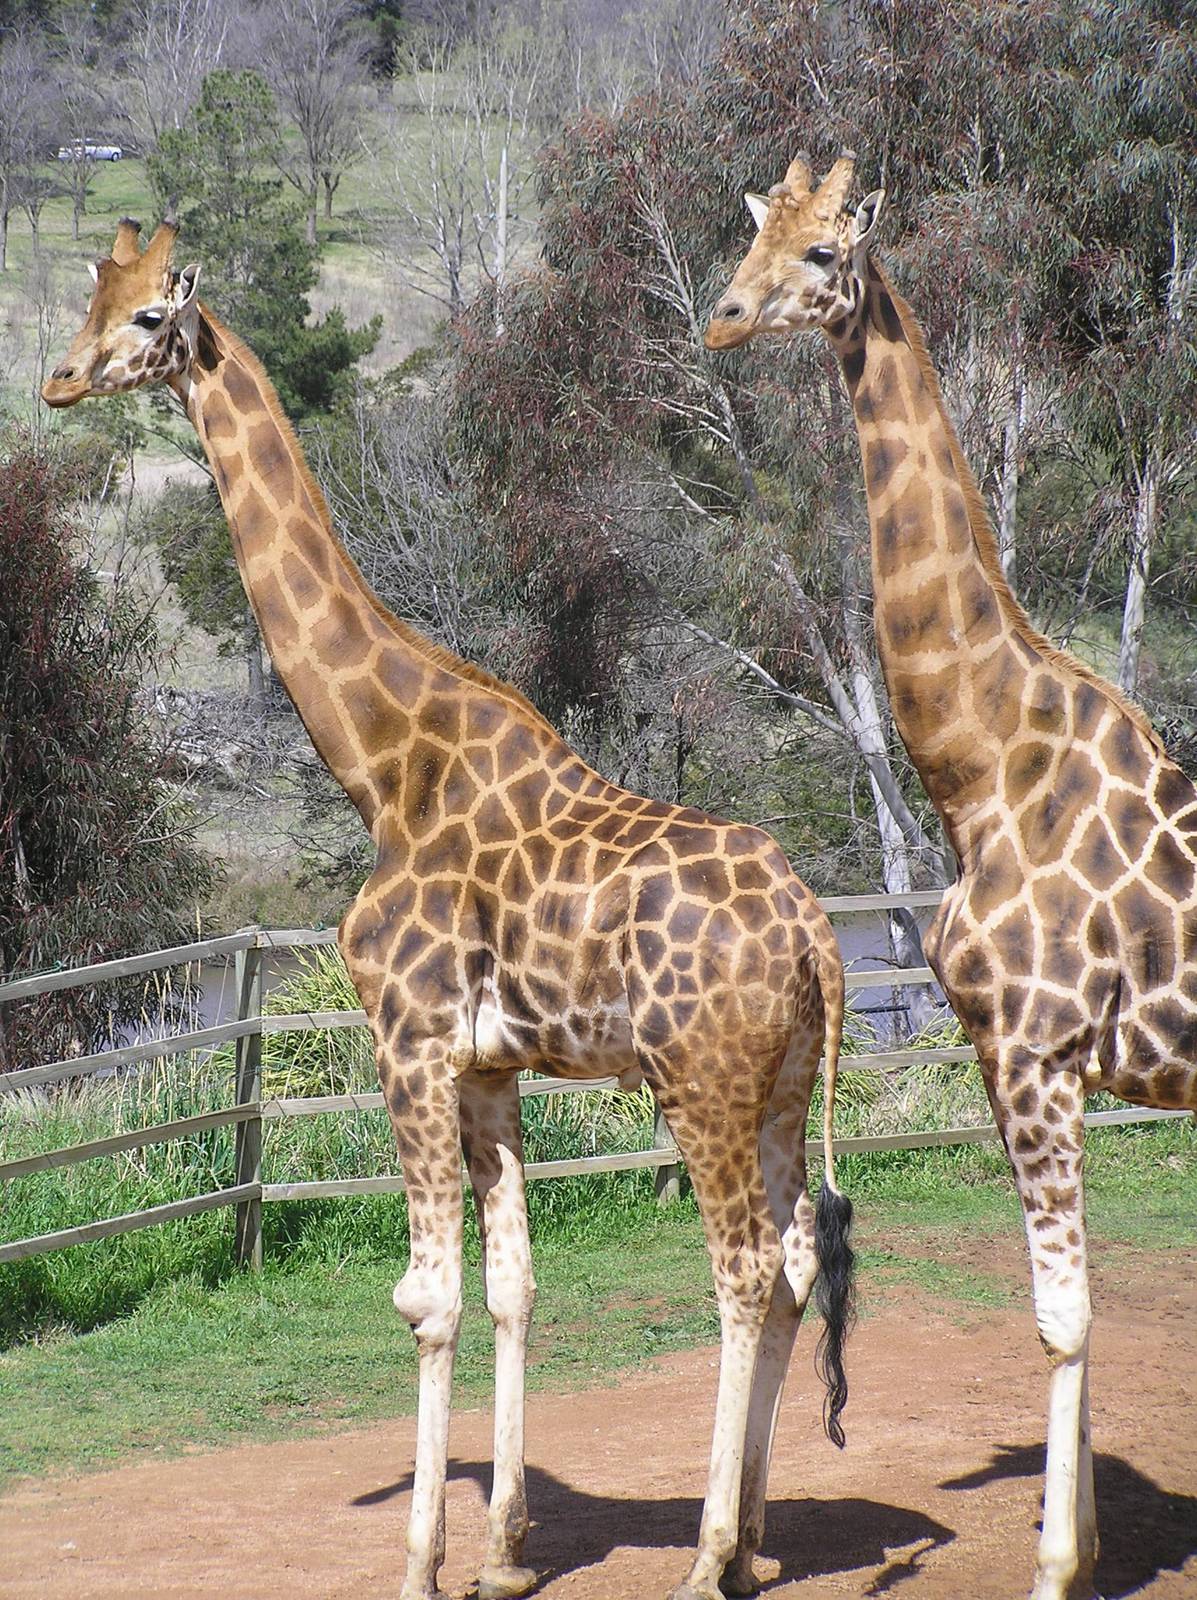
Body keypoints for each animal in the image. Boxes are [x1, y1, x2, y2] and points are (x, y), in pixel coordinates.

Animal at [43, 217, 857, 1600]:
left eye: (150, 317)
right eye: (90, 298)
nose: (55, 379)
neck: (385, 763)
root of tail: (817, 936)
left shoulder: (409, 1039)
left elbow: (426, 1297)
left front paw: (421, 1560)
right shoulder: (490, 1065)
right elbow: (515, 1283)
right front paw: (503, 1554)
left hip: (698, 1080)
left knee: (746, 1270)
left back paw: (705, 1558)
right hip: (781, 1084)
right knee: (798, 1264)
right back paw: (749, 1547)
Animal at [705, 154, 1197, 1600]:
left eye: (824, 254)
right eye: (748, 236)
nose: (723, 319)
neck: (983, 763)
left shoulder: (1039, 1049)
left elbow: (1060, 1317)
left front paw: (1053, 1566)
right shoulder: (1009, 1057)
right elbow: (1070, 1310)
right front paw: (1078, 1551)